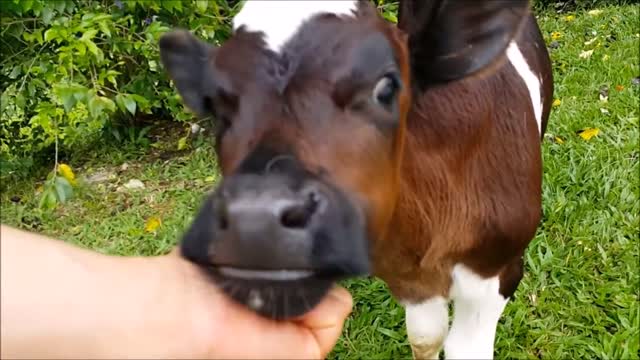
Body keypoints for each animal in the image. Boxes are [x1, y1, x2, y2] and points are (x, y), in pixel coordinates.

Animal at [159, 1, 552, 358]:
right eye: (216, 106)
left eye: (386, 88)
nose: (257, 225)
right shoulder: (406, 277)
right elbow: (425, 336)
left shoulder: (498, 267)